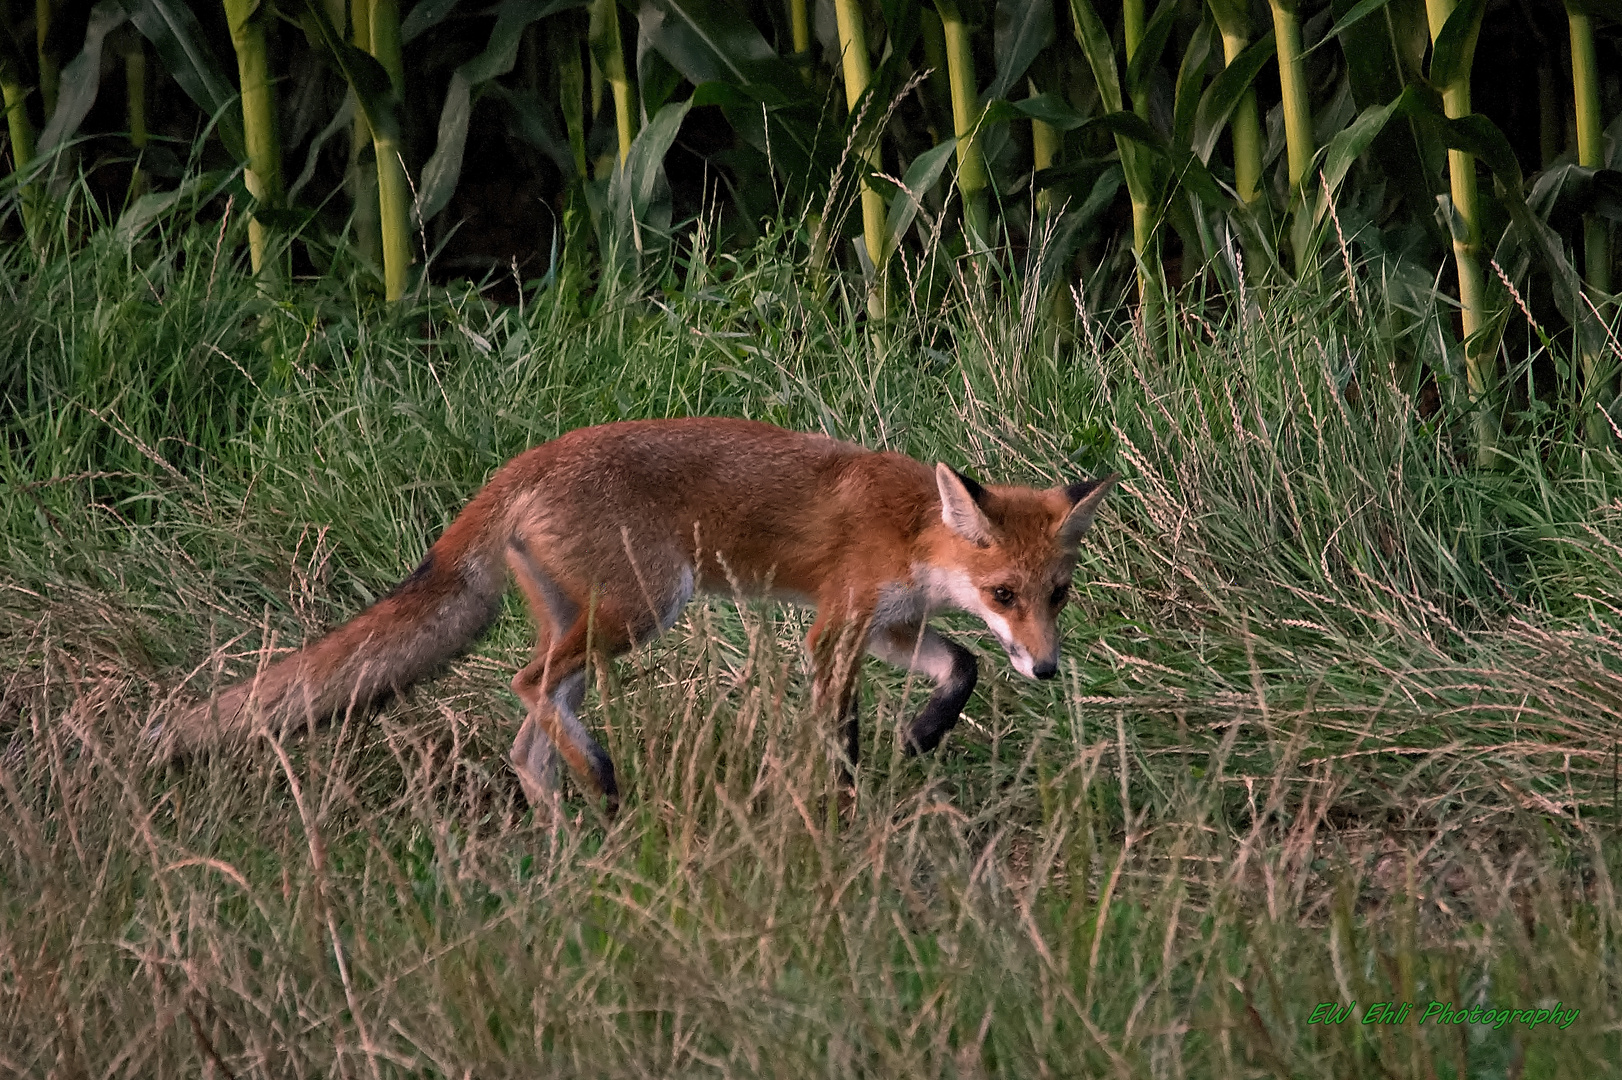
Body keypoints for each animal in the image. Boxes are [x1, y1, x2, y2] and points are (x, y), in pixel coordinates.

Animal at [167, 415, 1115, 810]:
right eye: (1004, 594)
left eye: (1057, 595)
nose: (1048, 668)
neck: (913, 526)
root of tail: (519, 466)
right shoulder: (835, 627)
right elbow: (841, 731)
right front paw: (846, 805)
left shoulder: (889, 627)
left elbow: (965, 665)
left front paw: (922, 732)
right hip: (639, 611)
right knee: (525, 687)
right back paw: (597, 782)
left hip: (592, 633)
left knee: (527, 743)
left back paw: (568, 844)